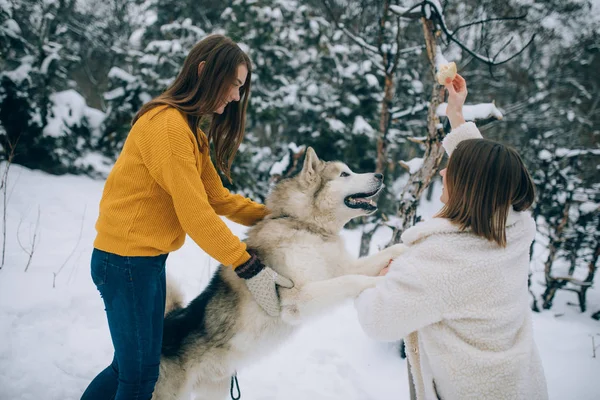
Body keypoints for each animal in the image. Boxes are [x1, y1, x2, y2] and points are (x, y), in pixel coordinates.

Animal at [154, 148, 408, 400]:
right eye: (345, 174)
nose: (380, 175)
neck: (305, 226)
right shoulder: (297, 299)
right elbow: (351, 281)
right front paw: (377, 283)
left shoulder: (341, 268)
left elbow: (380, 257)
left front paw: (406, 247)